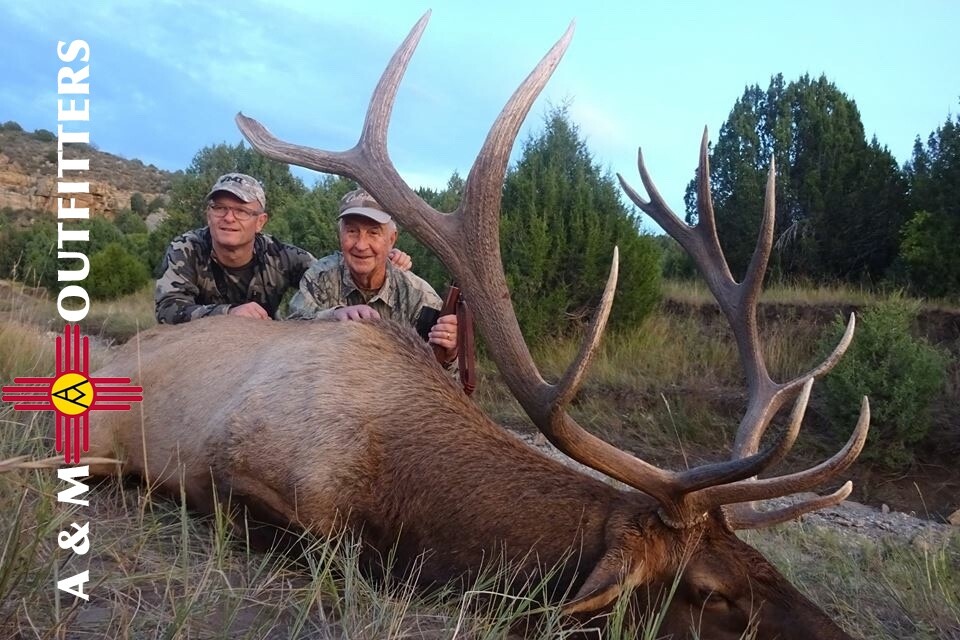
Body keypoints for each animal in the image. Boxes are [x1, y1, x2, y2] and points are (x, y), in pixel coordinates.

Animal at [90, 11, 868, 640]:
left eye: (761, 561)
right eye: (710, 592)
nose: (840, 636)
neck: (396, 481)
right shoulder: (241, 480)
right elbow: (341, 554)